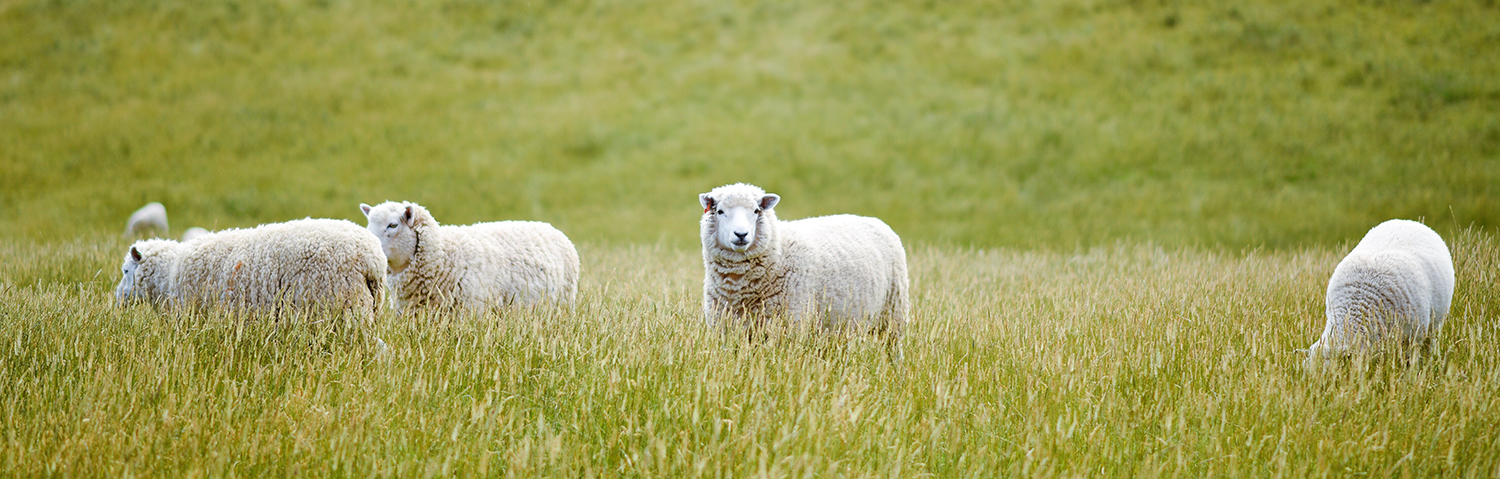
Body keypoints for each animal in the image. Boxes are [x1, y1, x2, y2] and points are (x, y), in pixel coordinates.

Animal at [696, 183, 906, 360]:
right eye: (720, 211)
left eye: (756, 211)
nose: (741, 234)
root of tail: (874, 220)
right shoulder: (725, 329)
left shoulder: (790, 327)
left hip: (893, 315)